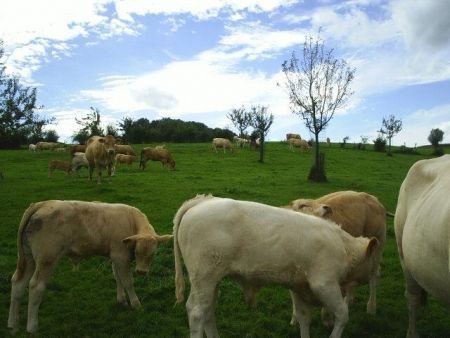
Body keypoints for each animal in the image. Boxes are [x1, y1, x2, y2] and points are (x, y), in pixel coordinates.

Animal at [8, 199, 174, 334]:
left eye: (153, 253)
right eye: (138, 251)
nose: (141, 271)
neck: (131, 221)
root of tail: (42, 204)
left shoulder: (115, 256)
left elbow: (118, 277)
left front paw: (121, 300)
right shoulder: (120, 255)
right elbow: (127, 281)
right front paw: (135, 304)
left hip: (28, 258)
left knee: (18, 283)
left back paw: (13, 324)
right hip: (46, 259)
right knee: (36, 286)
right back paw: (32, 327)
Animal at [174, 195, 378, 338]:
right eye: (374, 262)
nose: (377, 273)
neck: (343, 246)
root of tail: (201, 201)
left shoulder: (300, 287)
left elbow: (304, 318)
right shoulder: (324, 284)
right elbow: (342, 314)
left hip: (210, 281)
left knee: (207, 310)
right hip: (204, 278)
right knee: (196, 313)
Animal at [288, 190, 386, 322]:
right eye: (302, 205)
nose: (327, 208)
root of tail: (372, 197)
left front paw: (327, 317)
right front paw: (295, 318)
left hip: (376, 246)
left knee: (374, 275)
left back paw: (371, 307)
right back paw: (349, 299)